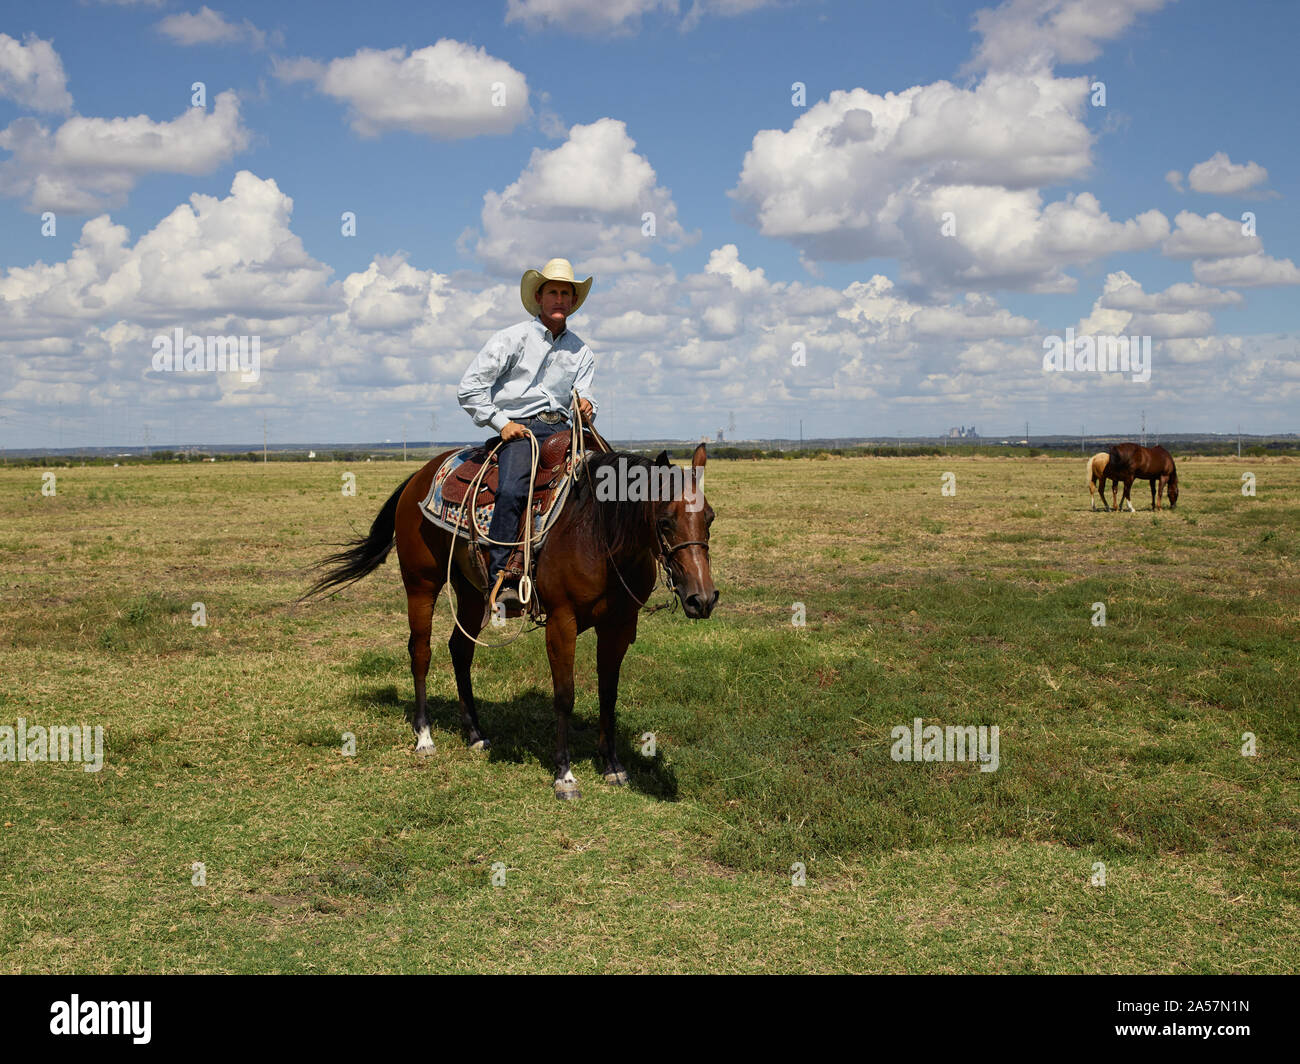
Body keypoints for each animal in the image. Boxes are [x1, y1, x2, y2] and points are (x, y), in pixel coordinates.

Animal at [303, 442, 718, 799]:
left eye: (709, 518)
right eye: (665, 521)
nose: (702, 599)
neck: (597, 533)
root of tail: (419, 477)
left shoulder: (619, 625)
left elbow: (609, 692)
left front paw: (612, 764)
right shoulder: (562, 621)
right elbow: (564, 695)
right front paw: (564, 775)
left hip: (471, 592)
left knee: (460, 649)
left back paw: (475, 733)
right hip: (422, 583)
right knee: (421, 651)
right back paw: (424, 737)